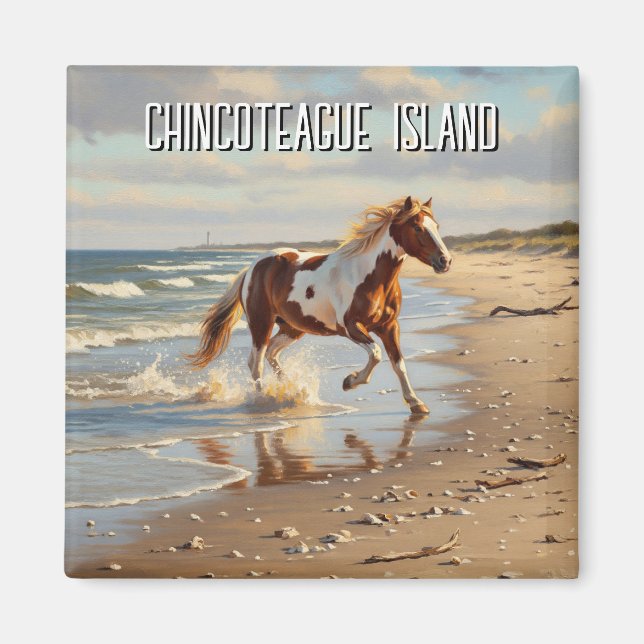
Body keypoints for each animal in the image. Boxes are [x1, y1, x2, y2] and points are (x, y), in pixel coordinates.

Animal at [188, 195, 453, 414]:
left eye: (437, 227)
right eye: (417, 227)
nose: (445, 261)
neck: (368, 276)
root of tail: (253, 267)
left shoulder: (389, 327)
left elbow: (399, 364)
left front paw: (416, 403)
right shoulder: (350, 327)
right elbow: (376, 354)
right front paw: (350, 381)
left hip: (292, 327)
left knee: (272, 353)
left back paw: (290, 389)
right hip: (261, 323)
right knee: (256, 362)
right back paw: (264, 399)